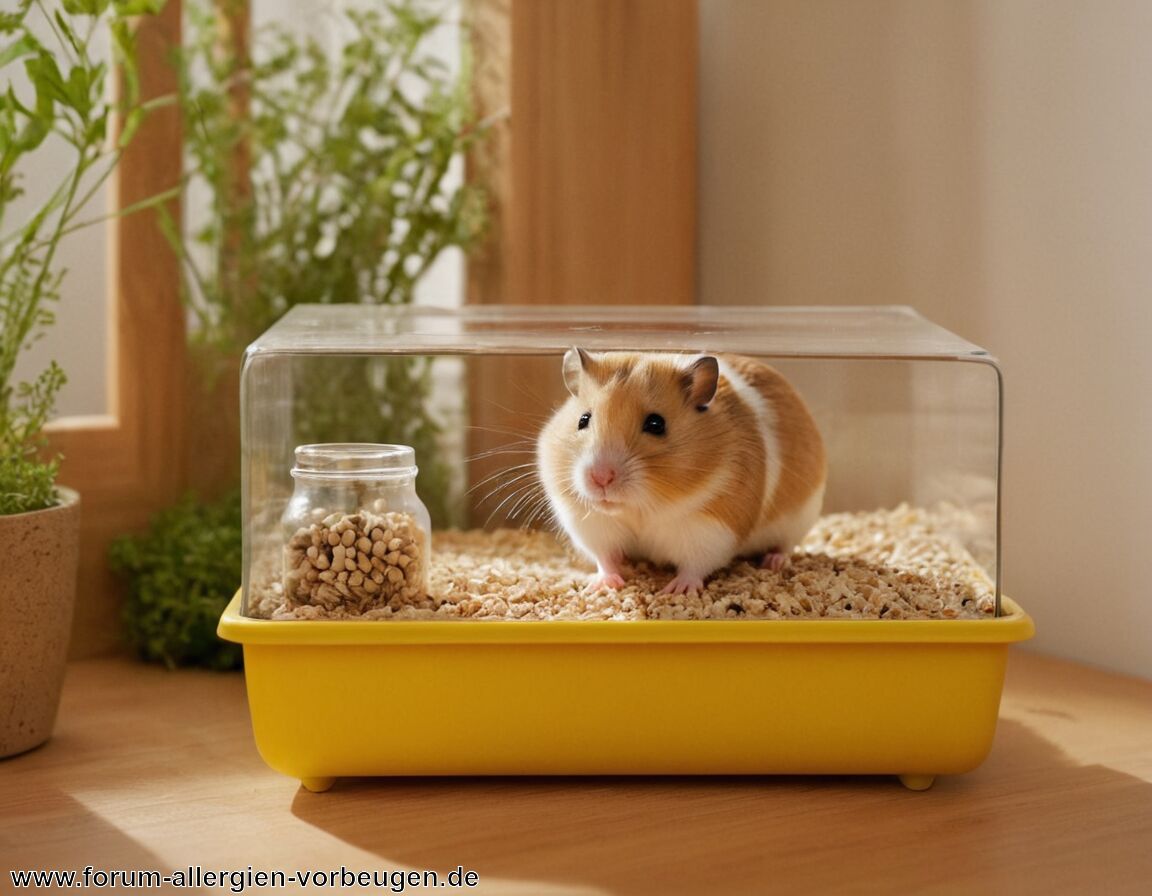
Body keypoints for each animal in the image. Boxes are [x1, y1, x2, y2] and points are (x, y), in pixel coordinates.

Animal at [537, 349, 827, 594]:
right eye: (583, 420)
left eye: (656, 424)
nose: (600, 478)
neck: (642, 508)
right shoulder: (592, 526)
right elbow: (605, 558)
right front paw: (604, 585)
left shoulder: (711, 529)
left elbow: (694, 566)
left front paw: (677, 591)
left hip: (799, 520)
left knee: (786, 546)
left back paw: (773, 562)